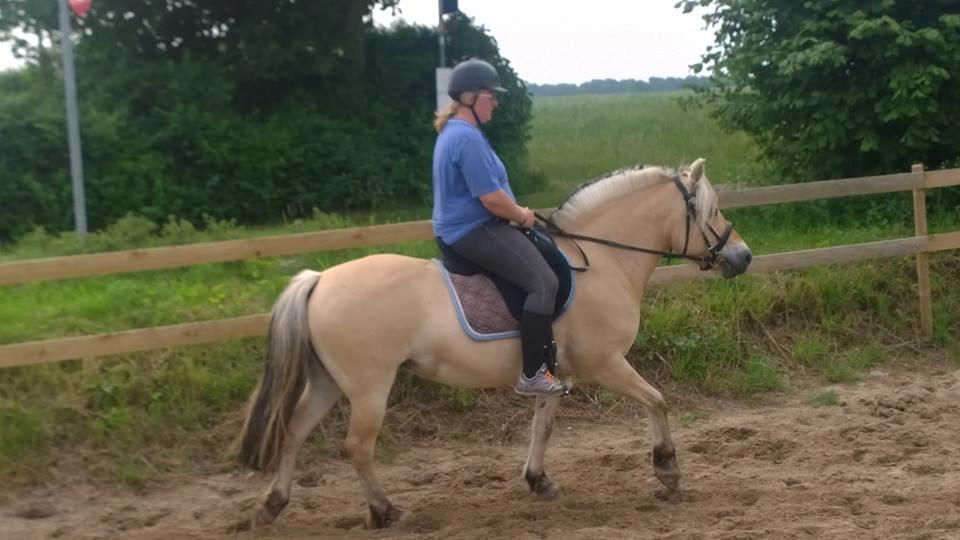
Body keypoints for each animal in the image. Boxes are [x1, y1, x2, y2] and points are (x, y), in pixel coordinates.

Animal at [232, 156, 752, 528]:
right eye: (711, 210)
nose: (743, 256)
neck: (602, 260)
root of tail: (318, 279)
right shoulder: (605, 363)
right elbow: (657, 400)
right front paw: (667, 471)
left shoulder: (553, 372)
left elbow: (543, 426)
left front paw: (539, 481)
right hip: (368, 386)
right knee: (357, 447)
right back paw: (385, 512)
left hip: (327, 381)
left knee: (294, 431)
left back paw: (273, 505)